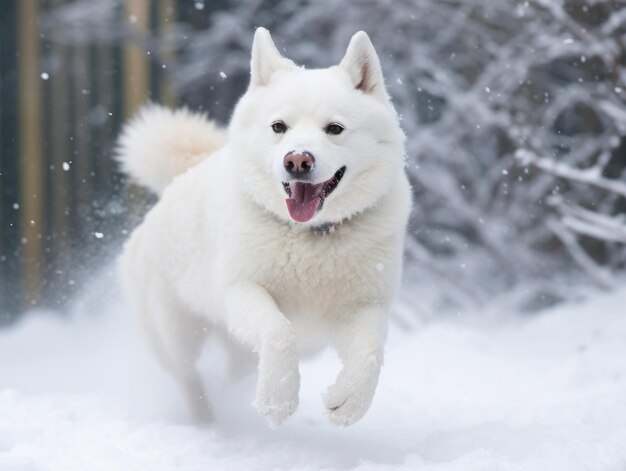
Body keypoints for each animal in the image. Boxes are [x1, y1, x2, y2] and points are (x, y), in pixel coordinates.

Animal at [116, 28, 410, 428]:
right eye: (278, 127)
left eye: (334, 129)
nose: (297, 160)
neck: (311, 238)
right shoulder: (241, 291)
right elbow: (279, 331)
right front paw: (278, 400)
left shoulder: (365, 305)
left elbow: (371, 351)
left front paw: (349, 401)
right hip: (175, 329)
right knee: (187, 374)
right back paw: (207, 421)